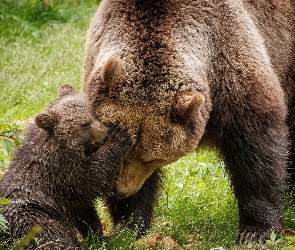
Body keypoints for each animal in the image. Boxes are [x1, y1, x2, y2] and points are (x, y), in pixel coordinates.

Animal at [82, 0, 295, 242]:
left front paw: (256, 229)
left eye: (153, 159)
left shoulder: (232, 60)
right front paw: (128, 225)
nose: (122, 190)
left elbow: (255, 147)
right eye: (121, 149)